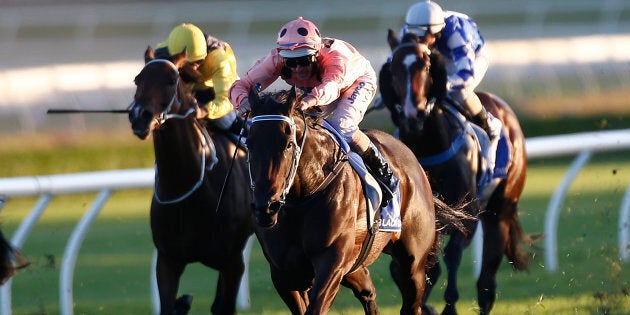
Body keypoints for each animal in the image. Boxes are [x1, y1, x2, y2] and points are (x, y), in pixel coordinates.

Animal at [128, 47, 254, 315]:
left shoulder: (233, 260)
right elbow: (168, 305)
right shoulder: (167, 260)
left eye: (170, 80)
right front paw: (182, 302)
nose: (139, 116)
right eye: (137, 80)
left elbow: (225, 306)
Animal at [247, 87, 470, 314]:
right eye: (249, 144)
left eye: (289, 144)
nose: (266, 208)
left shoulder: (332, 262)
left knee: (410, 302)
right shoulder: (285, 274)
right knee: (368, 290)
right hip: (355, 265)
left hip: (412, 263)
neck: (302, 200)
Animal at [380, 30, 540, 315]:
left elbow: (451, 256)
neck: (430, 145)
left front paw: (449, 305)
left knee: (486, 283)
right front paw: (426, 305)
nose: (412, 114)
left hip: (500, 210)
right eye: (394, 67)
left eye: (426, 66)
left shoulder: (468, 213)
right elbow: (413, 269)